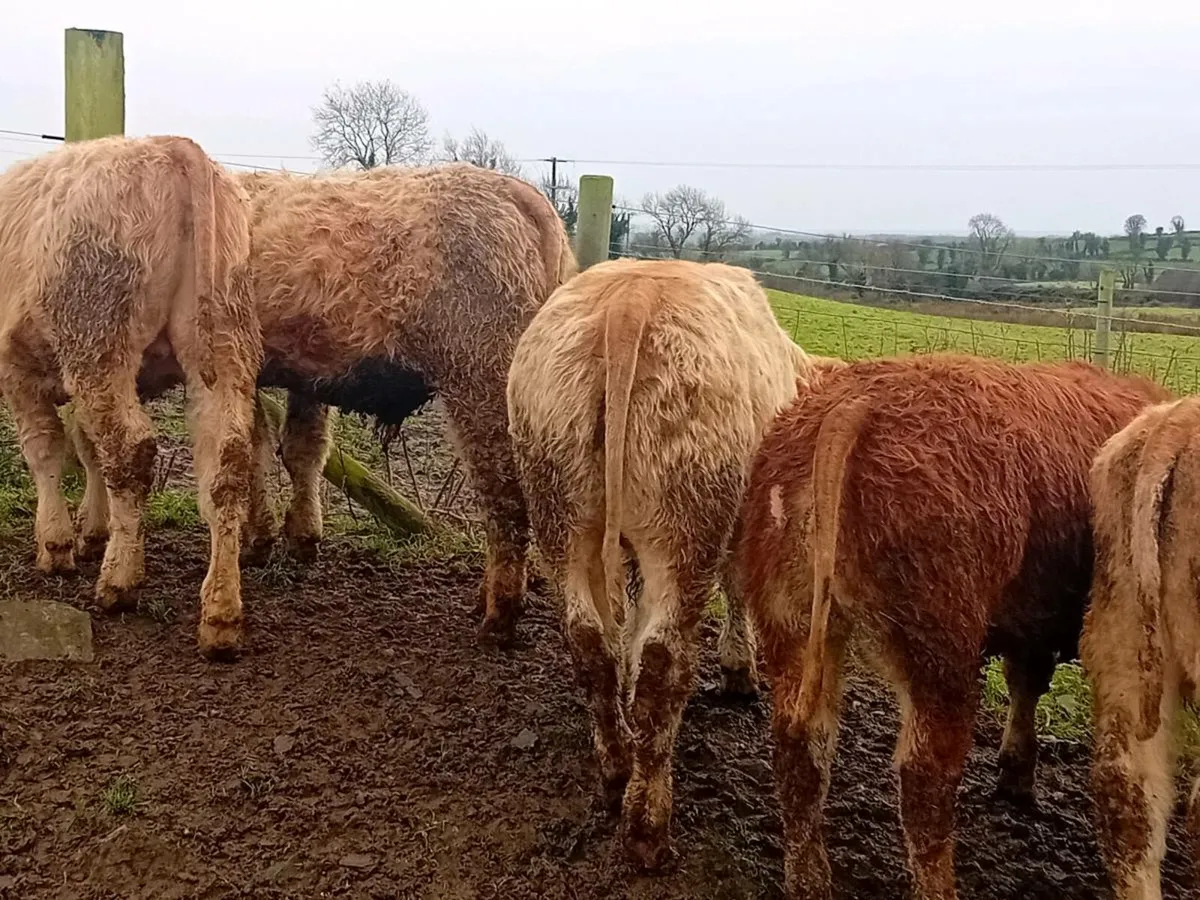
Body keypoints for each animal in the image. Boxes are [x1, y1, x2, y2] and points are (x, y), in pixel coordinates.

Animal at [0, 134, 260, 658]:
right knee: (225, 464)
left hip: (99, 343)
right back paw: (221, 615)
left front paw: (57, 543)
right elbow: (86, 450)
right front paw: (92, 529)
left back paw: (119, 581)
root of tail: (173, 146)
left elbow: (46, 451)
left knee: (129, 450)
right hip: (223, 343)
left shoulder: (16, 370)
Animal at [69, 162, 575, 647]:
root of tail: (514, 190)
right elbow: (285, 448)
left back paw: (499, 617)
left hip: (481, 381)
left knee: (505, 496)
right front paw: (283, 537)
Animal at [506, 257, 822, 870]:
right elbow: (737, 588)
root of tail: (629, 300)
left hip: (563, 516)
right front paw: (739, 668)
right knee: (663, 661)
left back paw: (615, 766)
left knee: (589, 643)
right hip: (685, 529)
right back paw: (647, 823)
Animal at [734, 354, 1169, 900]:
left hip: (791, 619)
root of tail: (854, 401)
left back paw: (810, 881)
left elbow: (1026, 683)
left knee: (802, 747)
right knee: (924, 779)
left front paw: (1016, 778)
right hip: (941, 646)